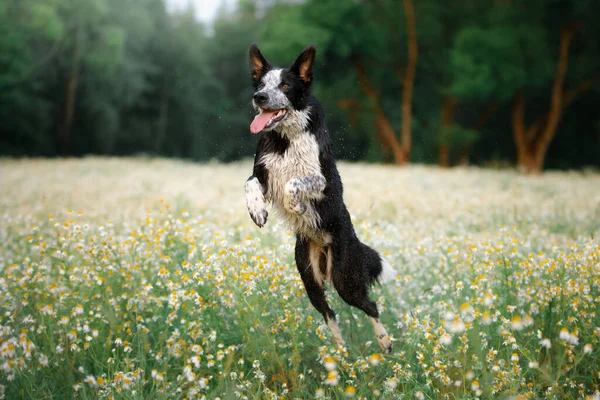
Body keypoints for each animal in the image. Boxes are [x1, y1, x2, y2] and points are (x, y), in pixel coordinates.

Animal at [244, 42, 394, 352]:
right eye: (261, 84)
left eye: (285, 85)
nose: (259, 98)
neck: (284, 138)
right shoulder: (262, 174)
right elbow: (249, 184)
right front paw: (257, 211)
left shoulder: (321, 180)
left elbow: (294, 184)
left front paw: (298, 207)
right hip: (309, 278)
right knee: (329, 312)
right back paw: (339, 352)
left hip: (345, 277)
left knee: (370, 305)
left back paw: (384, 342)